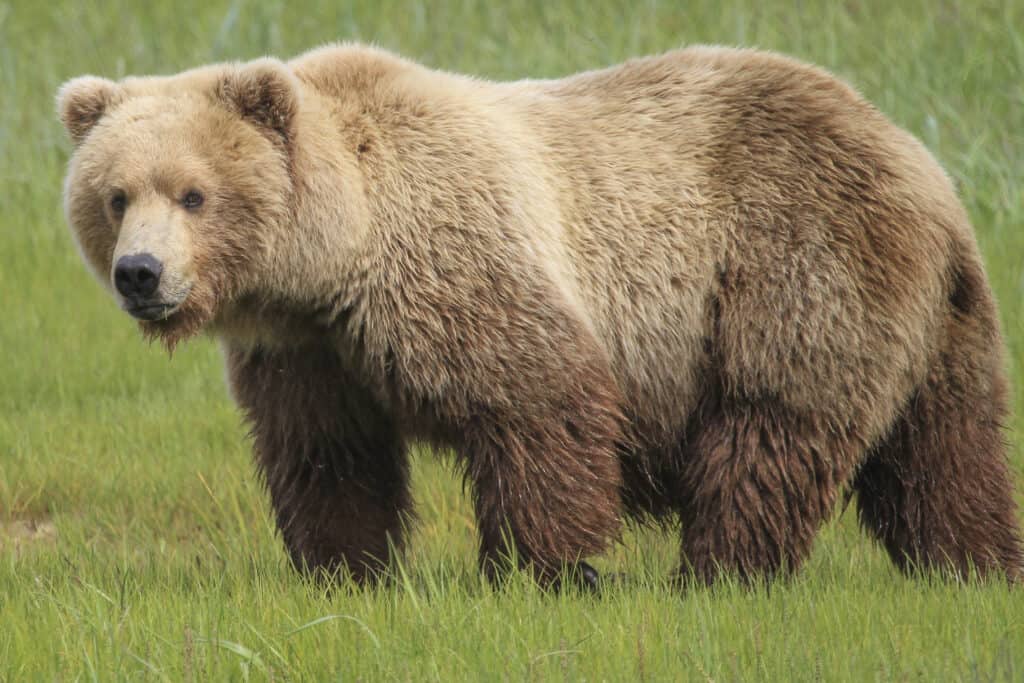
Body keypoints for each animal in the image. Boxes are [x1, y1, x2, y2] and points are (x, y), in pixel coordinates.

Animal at [59, 44, 1019, 589]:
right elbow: (329, 455)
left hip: (797, 265)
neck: (334, 258)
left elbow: (538, 400)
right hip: (938, 320)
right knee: (944, 451)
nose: (141, 274)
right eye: (115, 195)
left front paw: (538, 567)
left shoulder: (455, 263)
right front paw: (341, 571)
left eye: (194, 193)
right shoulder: (308, 349)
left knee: (771, 426)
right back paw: (972, 565)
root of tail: (921, 161)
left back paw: (719, 572)